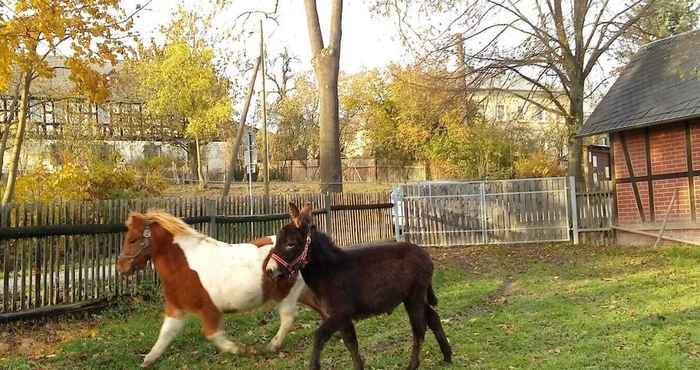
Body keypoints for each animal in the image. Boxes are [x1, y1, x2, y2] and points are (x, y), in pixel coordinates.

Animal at [118, 210, 326, 368]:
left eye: (133, 240)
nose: (121, 267)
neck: (185, 265)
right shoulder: (176, 308)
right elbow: (165, 334)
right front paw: (147, 360)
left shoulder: (209, 310)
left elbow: (213, 335)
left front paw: (245, 350)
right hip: (304, 293)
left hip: (288, 296)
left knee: (288, 318)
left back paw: (272, 346)